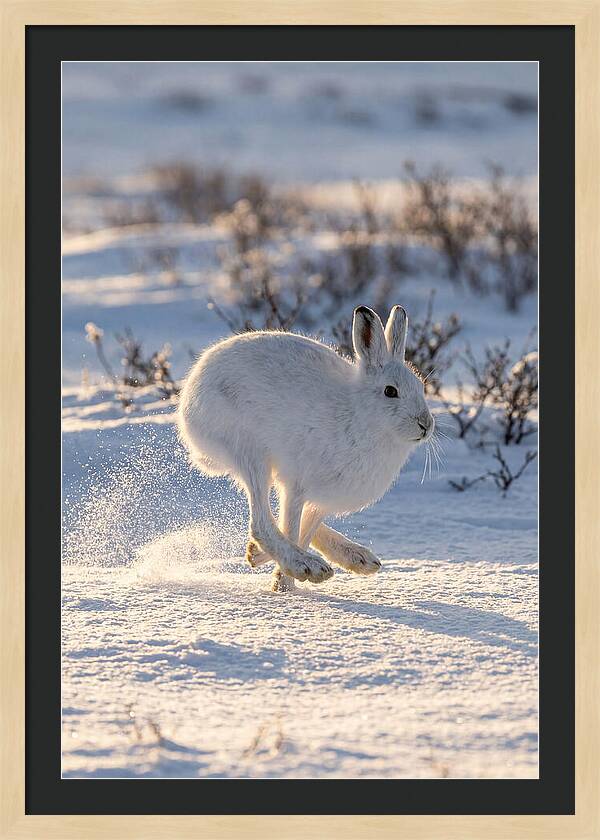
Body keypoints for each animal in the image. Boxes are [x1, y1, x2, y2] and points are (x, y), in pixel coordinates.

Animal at [177, 305, 434, 591]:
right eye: (390, 391)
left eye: (421, 386)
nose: (426, 424)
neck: (360, 416)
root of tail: (189, 397)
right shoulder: (298, 485)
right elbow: (291, 527)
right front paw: (285, 585)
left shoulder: (321, 499)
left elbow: (305, 529)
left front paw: (277, 575)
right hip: (249, 451)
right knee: (261, 522)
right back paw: (306, 565)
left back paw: (355, 558)